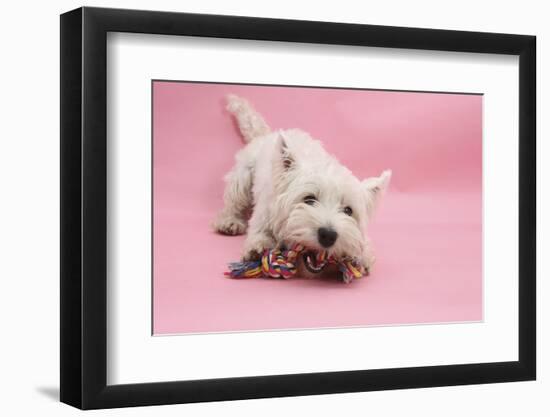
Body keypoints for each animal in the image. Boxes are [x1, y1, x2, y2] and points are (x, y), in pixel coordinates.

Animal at [212, 94, 392, 280]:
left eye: (348, 210)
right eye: (309, 199)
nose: (328, 235)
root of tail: (268, 135)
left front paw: (361, 256)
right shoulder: (263, 214)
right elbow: (258, 232)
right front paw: (258, 247)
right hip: (242, 177)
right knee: (233, 202)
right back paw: (230, 222)